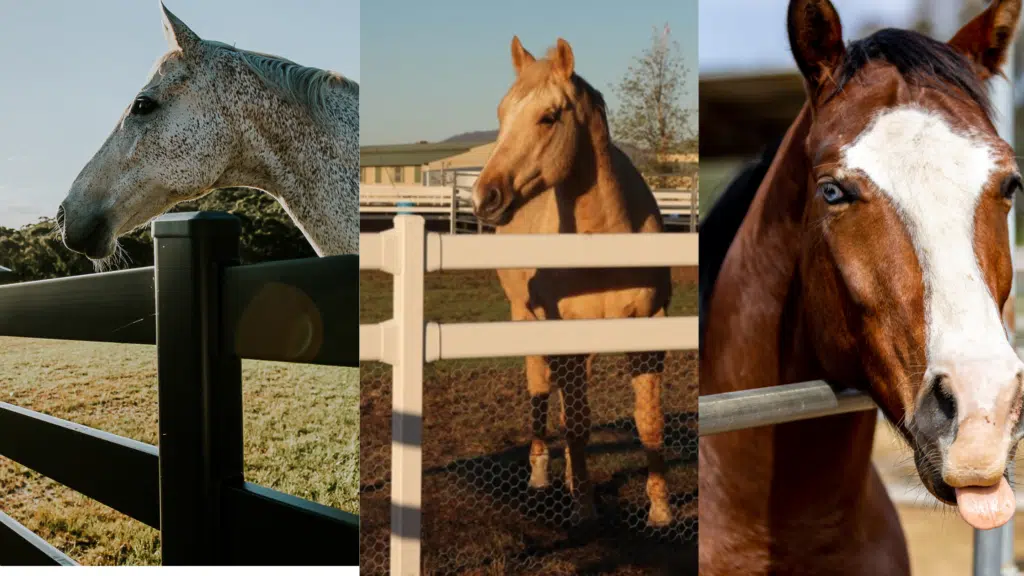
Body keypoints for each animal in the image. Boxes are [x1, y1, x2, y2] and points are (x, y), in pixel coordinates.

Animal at [471, 36, 674, 527]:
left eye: (548, 116)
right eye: (501, 113)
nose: (484, 197)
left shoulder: (650, 326)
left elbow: (649, 423)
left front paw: (660, 510)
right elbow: (577, 423)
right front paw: (584, 508)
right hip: (526, 321)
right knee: (542, 391)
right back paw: (543, 473)